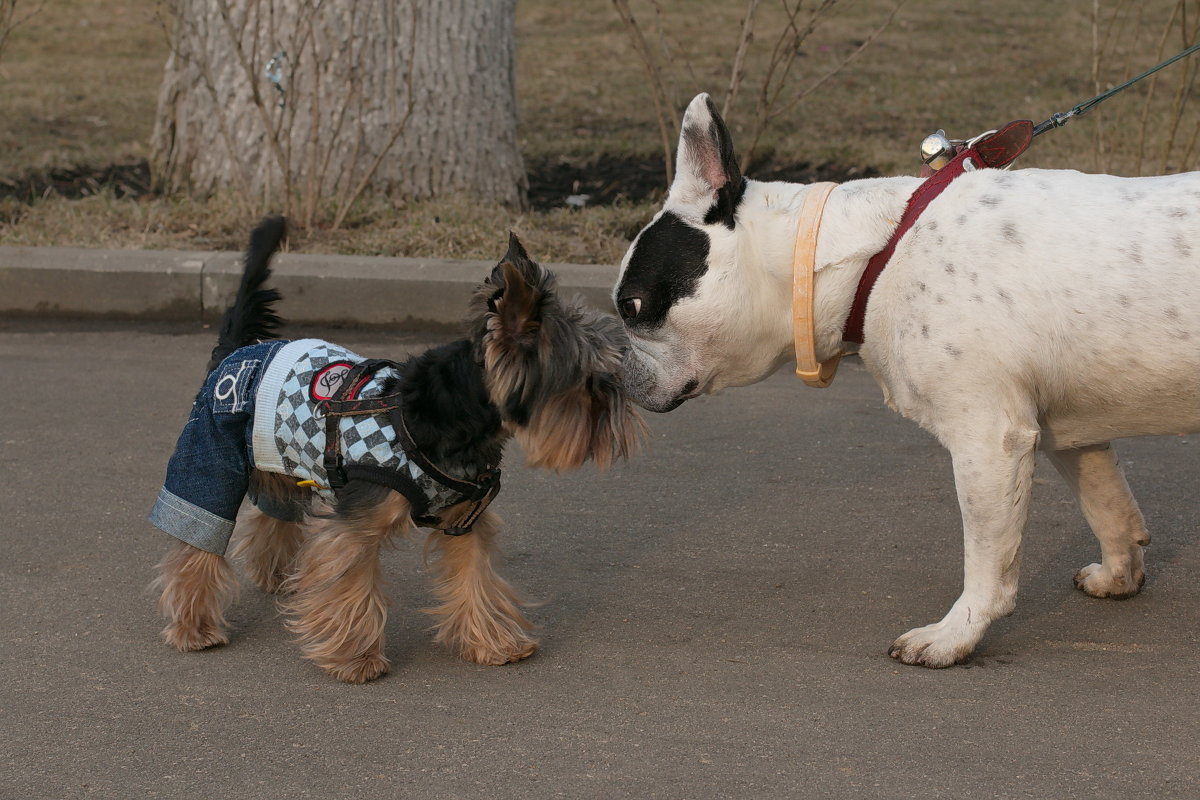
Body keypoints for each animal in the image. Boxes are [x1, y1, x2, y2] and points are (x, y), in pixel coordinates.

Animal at [148, 219, 643, 681]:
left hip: (279, 459)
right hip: (210, 452)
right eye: (590, 380)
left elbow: (475, 576)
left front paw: (494, 643)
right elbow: (351, 585)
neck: (451, 413)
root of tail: (235, 352)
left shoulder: (466, 517)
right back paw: (194, 627)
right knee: (198, 534)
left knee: (274, 510)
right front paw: (356, 659)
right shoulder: (356, 523)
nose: (625, 410)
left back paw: (281, 577)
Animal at [619, 92, 1200, 671]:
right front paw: (1119, 574)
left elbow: (987, 560)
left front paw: (956, 635)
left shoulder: (989, 442)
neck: (876, 255)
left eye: (632, 307)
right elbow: (1107, 503)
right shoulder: (1068, 431)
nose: (617, 367)